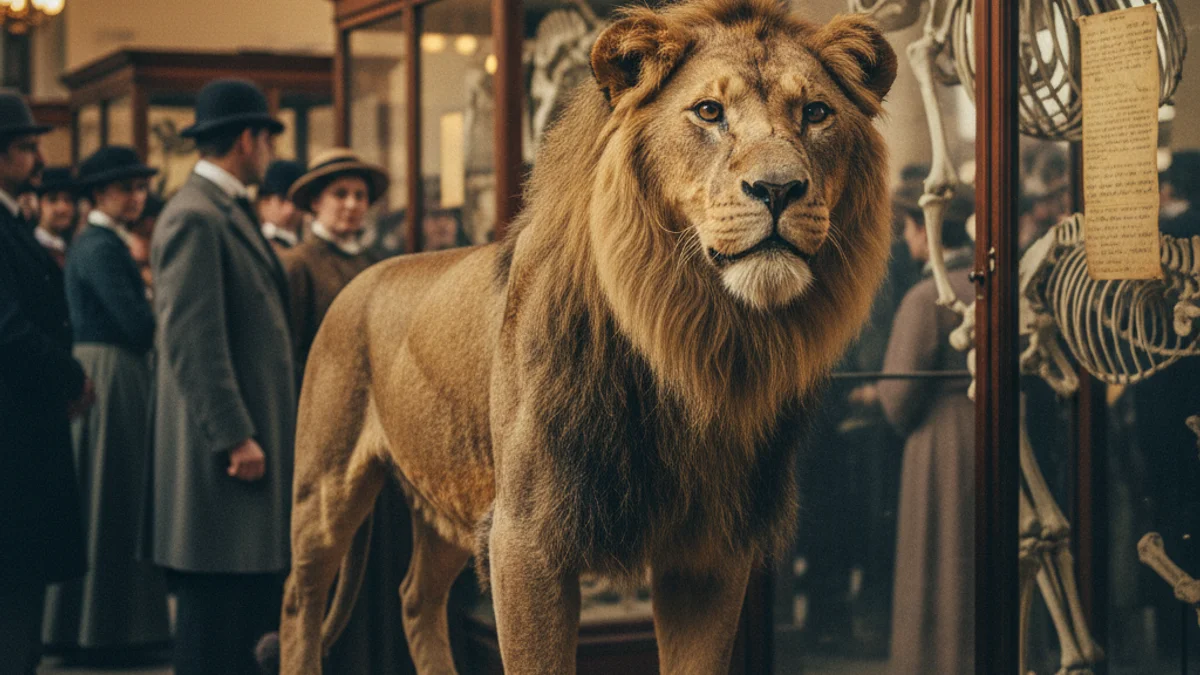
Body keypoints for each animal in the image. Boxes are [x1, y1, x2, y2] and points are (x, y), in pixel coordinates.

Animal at [278, 1, 897, 673]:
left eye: (816, 113)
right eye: (709, 111)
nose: (779, 189)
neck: (698, 342)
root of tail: (362, 272)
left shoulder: (711, 548)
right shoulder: (524, 537)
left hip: (447, 493)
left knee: (416, 597)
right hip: (326, 489)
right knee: (298, 603)